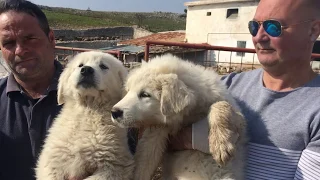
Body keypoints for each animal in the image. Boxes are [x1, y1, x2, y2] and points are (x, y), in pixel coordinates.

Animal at [36, 51, 134, 180]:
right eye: (80, 65)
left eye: (103, 66)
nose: (86, 70)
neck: (88, 109)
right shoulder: (52, 161)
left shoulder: (115, 166)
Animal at [111, 53, 246, 180]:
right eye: (128, 91)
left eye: (145, 94)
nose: (114, 112)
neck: (186, 118)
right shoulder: (157, 130)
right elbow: (145, 158)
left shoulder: (240, 120)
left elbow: (220, 105)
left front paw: (220, 144)